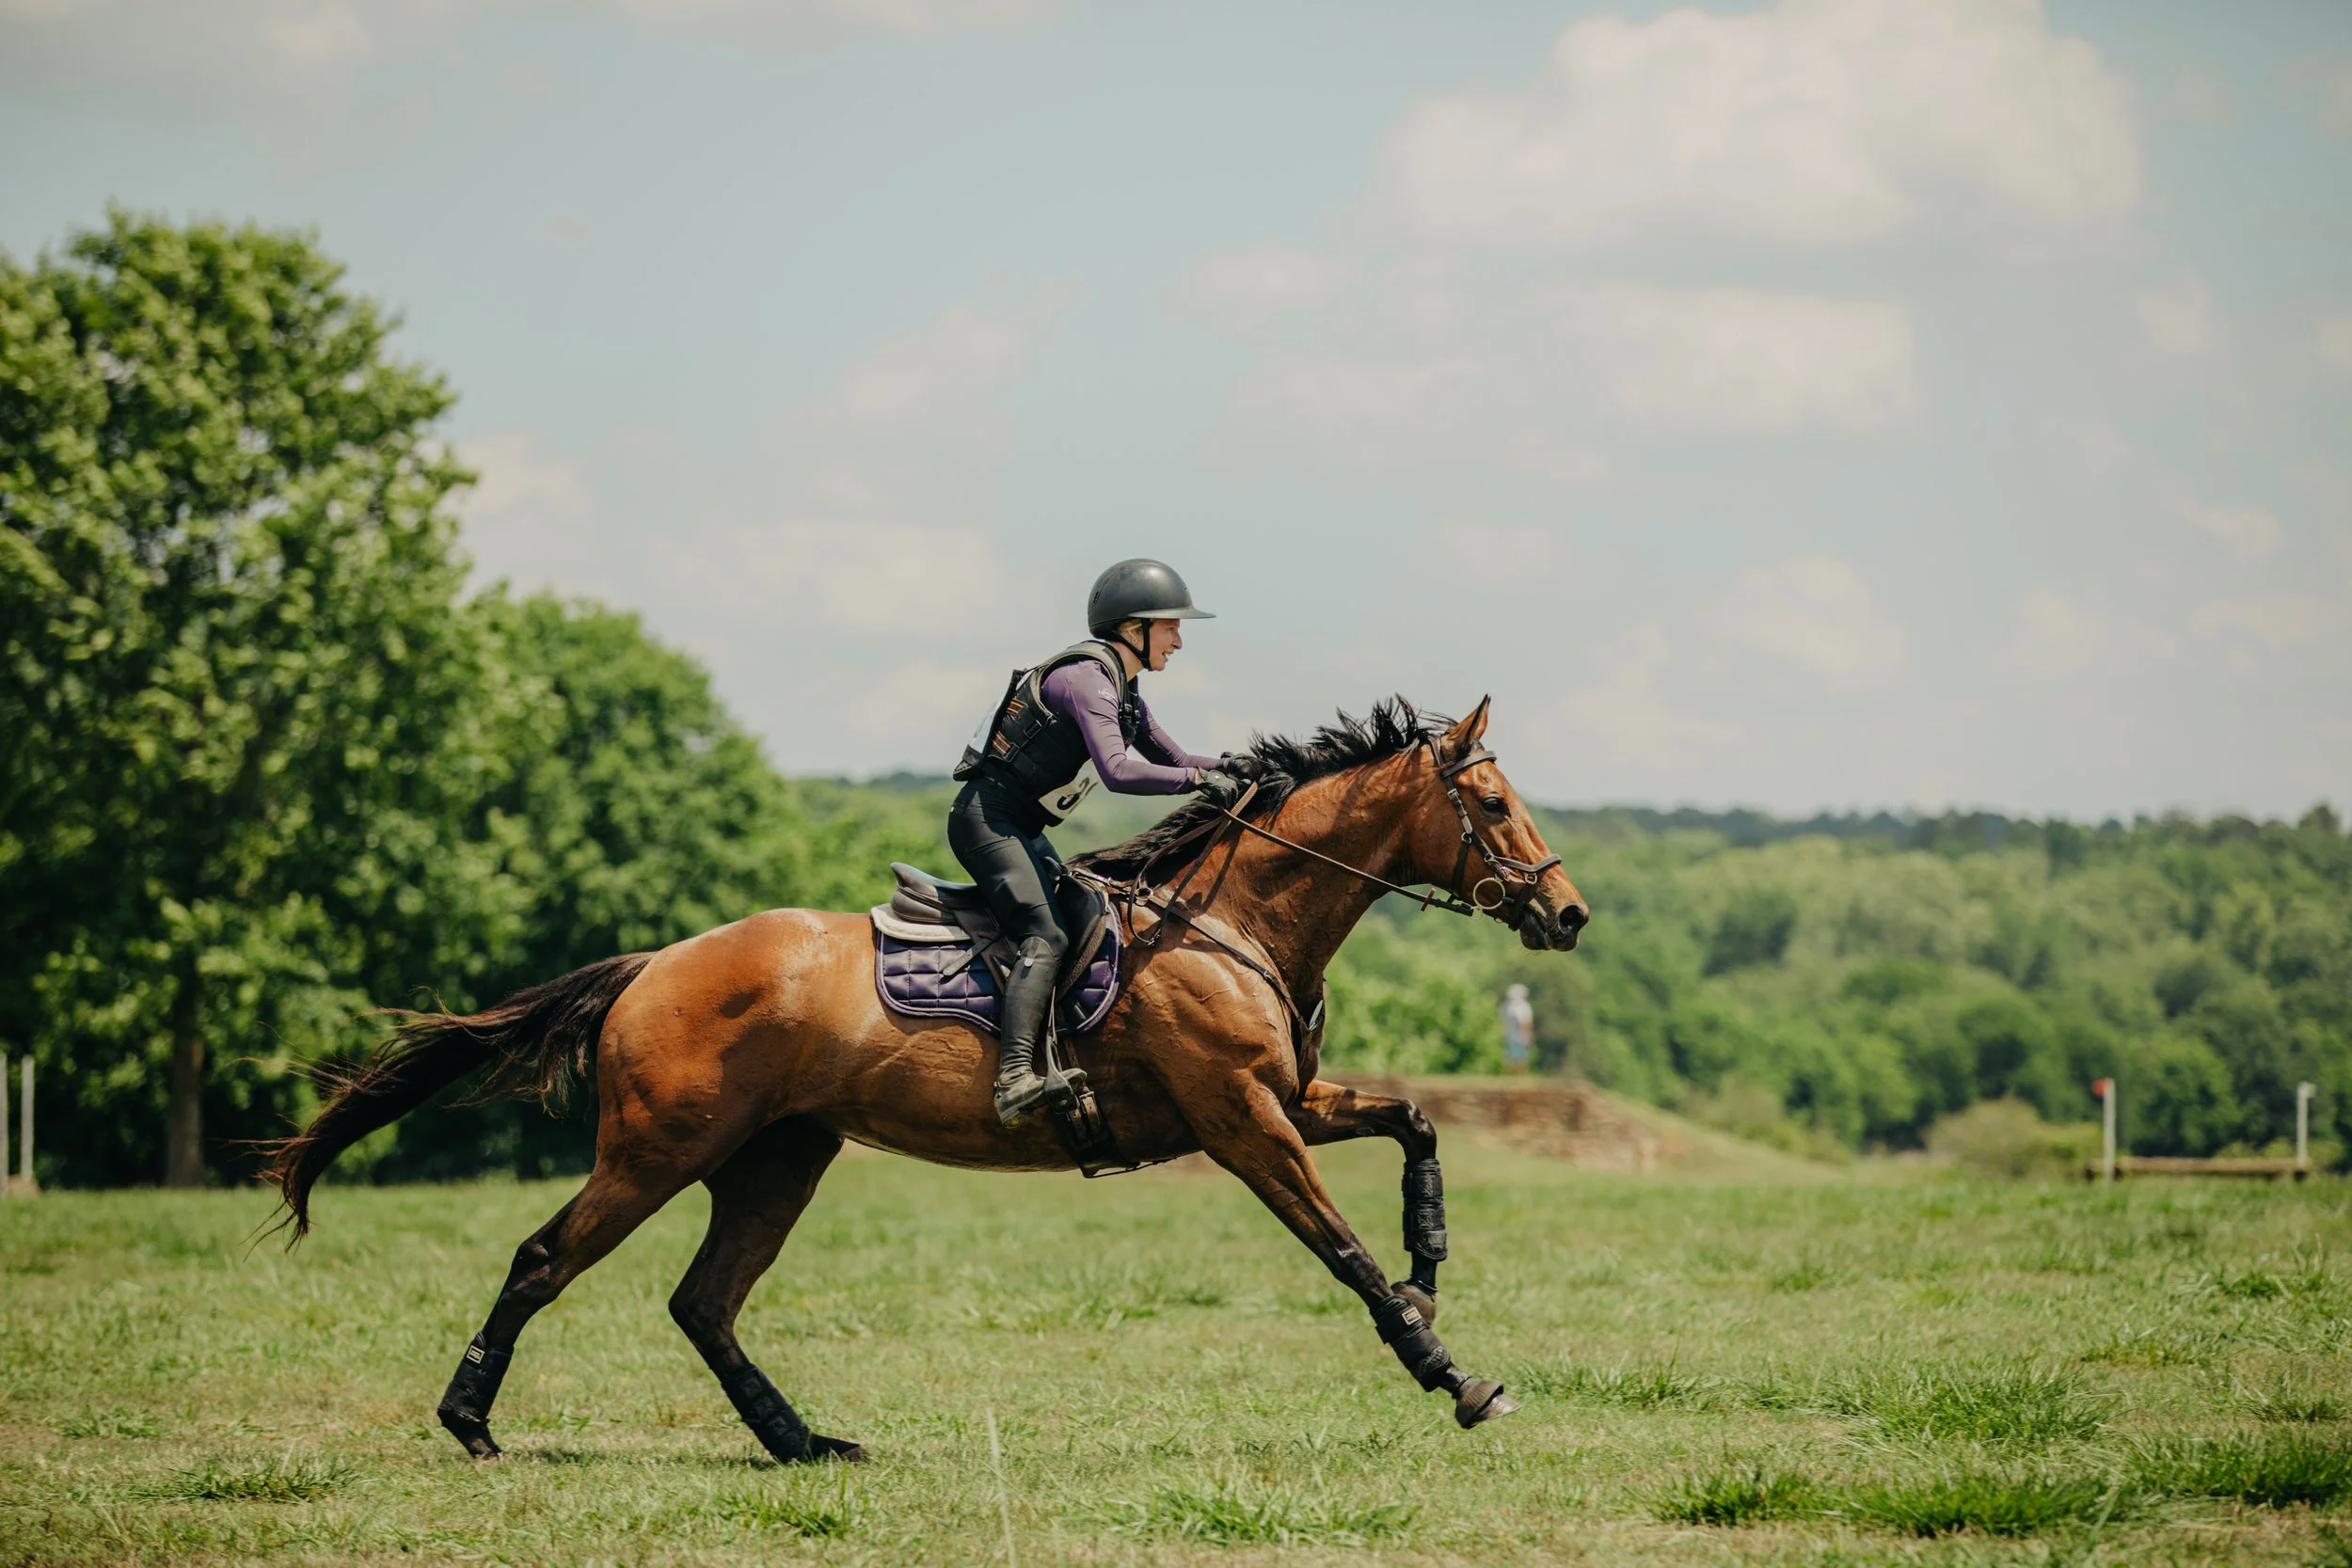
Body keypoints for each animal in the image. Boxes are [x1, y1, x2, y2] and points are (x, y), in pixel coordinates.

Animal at [263, 697, 1589, 1463]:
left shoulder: (1287, 1100)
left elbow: (1416, 1124)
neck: (1233, 921)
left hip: (777, 1158)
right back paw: (470, 1421)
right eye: (1487, 798)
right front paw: (1454, 1375)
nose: (1569, 912)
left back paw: (804, 1441)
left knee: (704, 1300)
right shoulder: (1242, 1120)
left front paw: (1429, 1262)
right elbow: (1339, 1248)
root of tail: (655, 963)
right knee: (547, 1258)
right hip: (657, 1150)